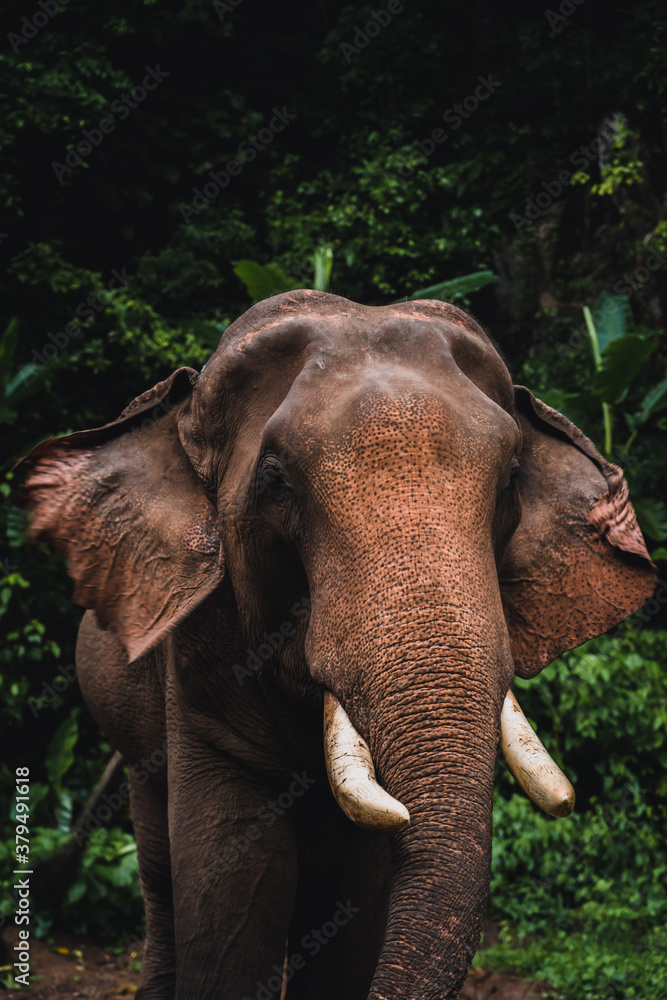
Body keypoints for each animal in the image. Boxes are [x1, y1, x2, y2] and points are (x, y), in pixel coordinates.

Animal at [17, 290, 656, 1000]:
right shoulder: (202, 659)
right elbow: (234, 902)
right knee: (159, 876)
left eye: (512, 477)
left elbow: (352, 910)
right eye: (274, 480)